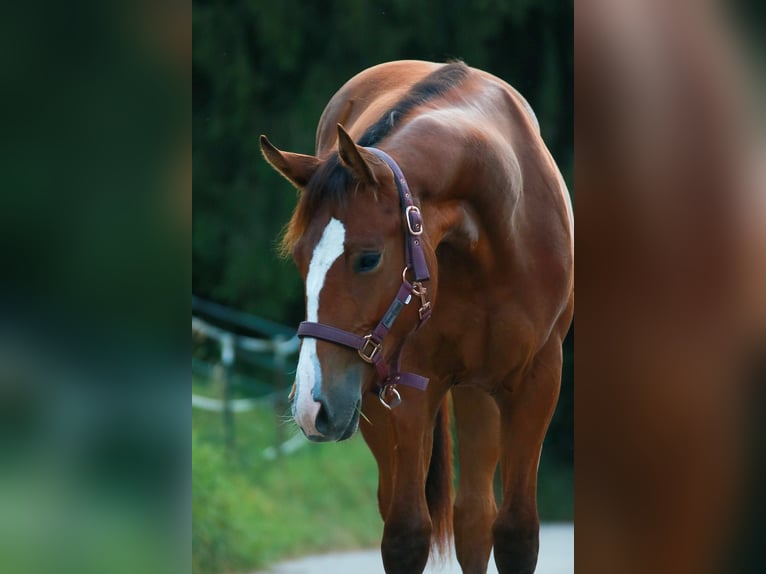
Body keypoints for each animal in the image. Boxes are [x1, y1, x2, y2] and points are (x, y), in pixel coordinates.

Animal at [260, 60, 572, 572]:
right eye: (301, 259)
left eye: (368, 258)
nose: (310, 405)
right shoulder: (406, 387)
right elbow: (405, 534)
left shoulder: (538, 381)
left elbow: (516, 532)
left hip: (474, 392)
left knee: (474, 517)